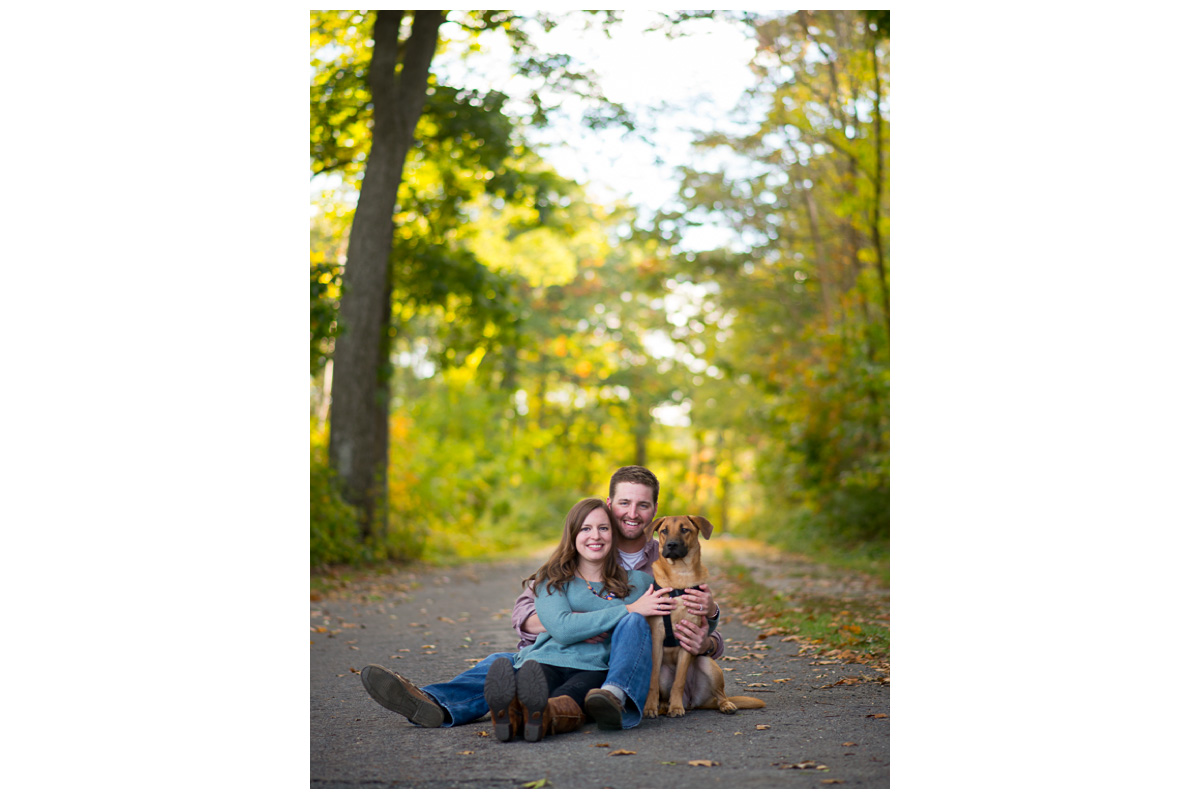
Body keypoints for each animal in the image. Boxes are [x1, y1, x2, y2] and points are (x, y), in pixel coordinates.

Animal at [648, 520, 768, 719]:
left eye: (684, 529)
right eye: (664, 530)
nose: (671, 545)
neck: (680, 575)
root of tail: (693, 701)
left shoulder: (689, 639)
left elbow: (679, 680)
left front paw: (676, 708)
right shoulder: (656, 639)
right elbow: (652, 680)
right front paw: (649, 708)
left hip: (709, 665)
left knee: (721, 695)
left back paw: (724, 705)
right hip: (665, 672)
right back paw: (664, 706)